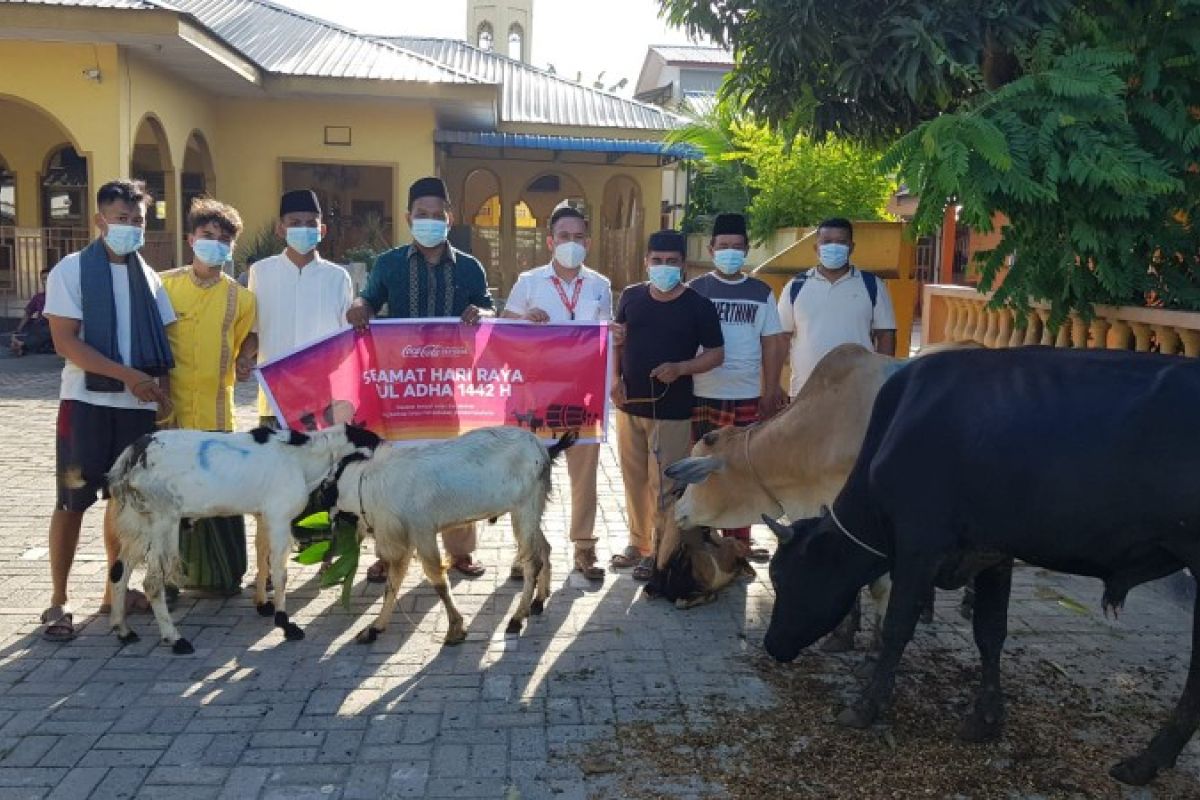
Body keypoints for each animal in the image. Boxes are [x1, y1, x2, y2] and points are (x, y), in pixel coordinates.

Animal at [107, 422, 381, 652]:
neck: (300, 459)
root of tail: (132, 457)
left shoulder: (262, 515)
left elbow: (262, 557)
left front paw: (262, 604)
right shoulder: (279, 517)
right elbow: (280, 572)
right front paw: (285, 623)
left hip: (140, 522)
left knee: (120, 569)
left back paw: (123, 630)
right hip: (164, 522)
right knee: (152, 582)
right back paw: (175, 639)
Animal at [324, 429, 576, 647]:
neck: (371, 483)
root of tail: (544, 450)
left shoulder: (422, 531)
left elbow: (438, 581)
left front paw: (455, 630)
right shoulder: (406, 538)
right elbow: (393, 583)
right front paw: (374, 628)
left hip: (525, 509)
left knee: (532, 561)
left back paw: (517, 618)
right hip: (530, 510)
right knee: (545, 547)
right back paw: (539, 600)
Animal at [763, 347, 1200, 786]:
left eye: (783, 578)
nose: (771, 644)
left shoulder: (919, 546)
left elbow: (897, 629)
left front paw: (866, 705)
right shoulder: (994, 554)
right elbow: (990, 632)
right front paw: (986, 717)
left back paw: (1148, 759)